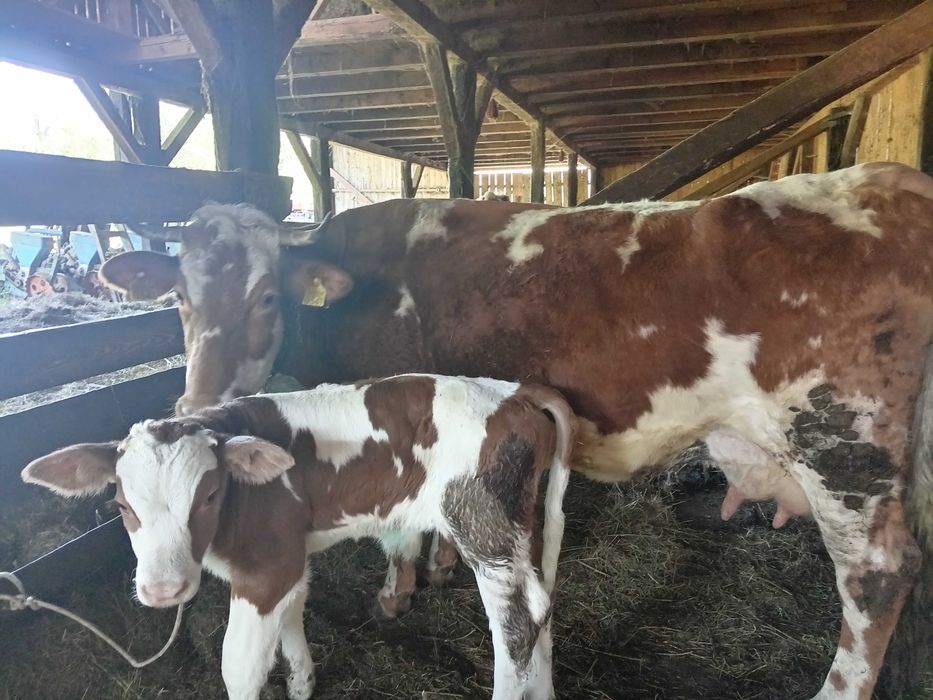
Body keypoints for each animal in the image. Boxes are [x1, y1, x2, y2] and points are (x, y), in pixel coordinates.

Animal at [21, 374, 574, 700]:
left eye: (209, 495)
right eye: (121, 505)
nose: (163, 591)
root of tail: (512, 391)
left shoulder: (267, 568)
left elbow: (240, 666)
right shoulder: (287, 555)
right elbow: (292, 612)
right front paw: (303, 682)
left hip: (483, 526)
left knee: (518, 623)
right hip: (515, 527)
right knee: (541, 608)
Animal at [99, 162, 933, 699]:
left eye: (267, 295)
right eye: (179, 297)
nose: (200, 394)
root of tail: (890, 180)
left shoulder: (394, 403)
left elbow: (397, 530)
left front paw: (397, 593)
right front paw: (436, 570)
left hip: (840, 440)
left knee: (876, 574)